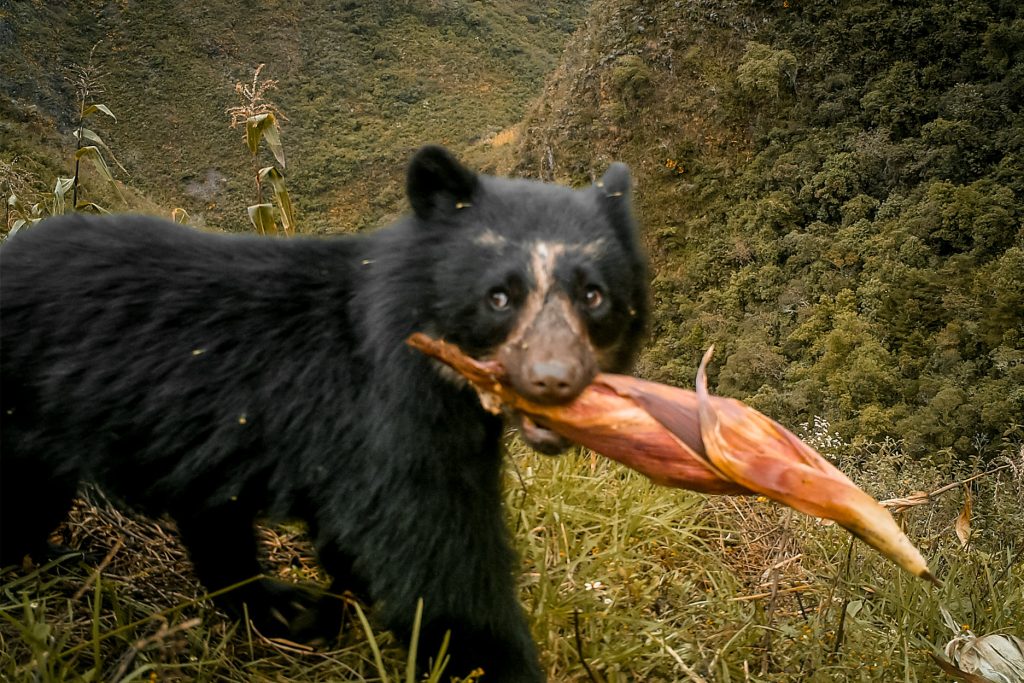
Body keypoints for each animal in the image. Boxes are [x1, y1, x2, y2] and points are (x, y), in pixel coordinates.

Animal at [2, 147, 647, 679]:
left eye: (593, 295)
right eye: (499, 297)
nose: (552, 380)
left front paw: (325, 615)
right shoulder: (385, 420)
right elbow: (436, 562)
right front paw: (491, 660)